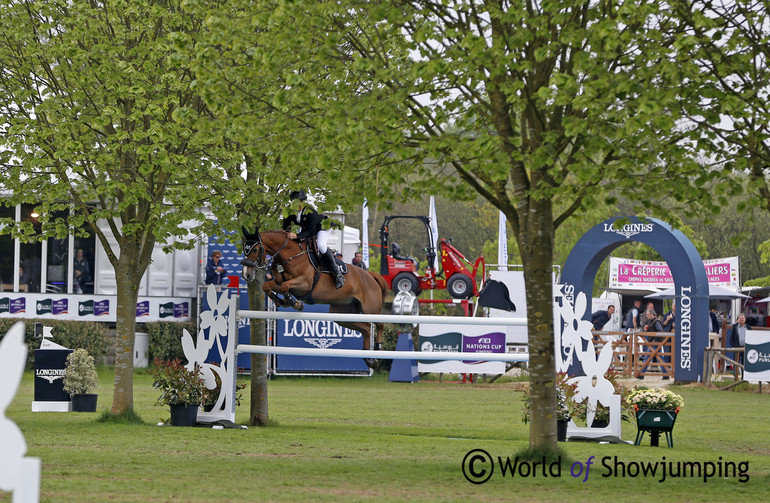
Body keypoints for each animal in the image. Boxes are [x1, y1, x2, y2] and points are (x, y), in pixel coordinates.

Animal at [238, 226, 388, 364]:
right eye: (244, 249)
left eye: (255, 250)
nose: (246, 275)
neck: (290, 255)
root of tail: (370, 275)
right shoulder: (278, 283)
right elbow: (267, 286)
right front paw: (280, 301)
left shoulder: (305, 284)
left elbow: (286, 286)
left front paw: (295, 303)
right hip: (343, 314)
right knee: (366, 328)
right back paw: (369, 358)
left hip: (370, 309)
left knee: (379, 325)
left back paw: (378, 348)